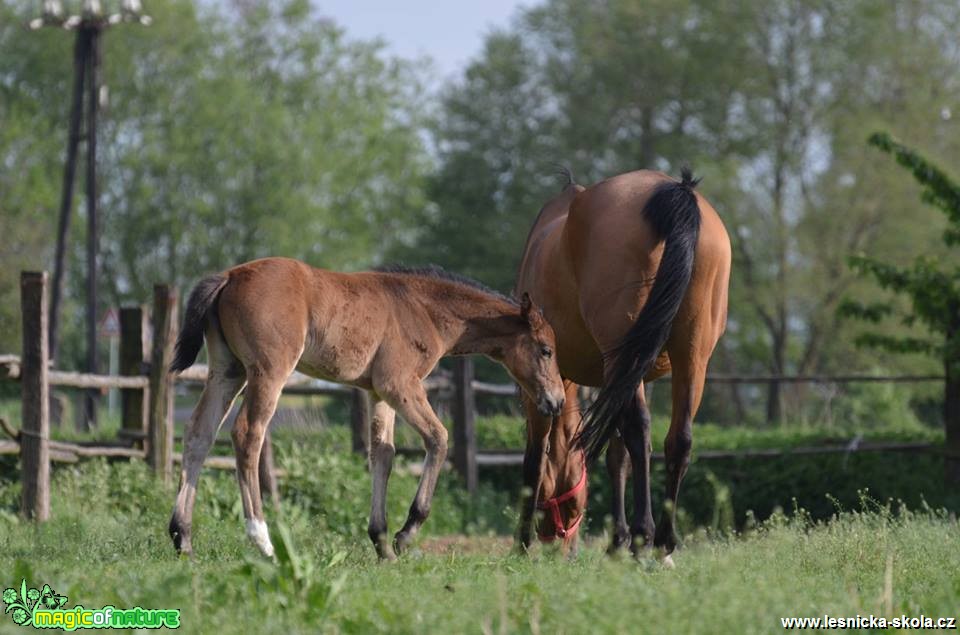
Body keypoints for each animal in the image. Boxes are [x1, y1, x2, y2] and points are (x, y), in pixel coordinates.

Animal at [169, 256, 568, 560]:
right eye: (546, 350)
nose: (557, 401)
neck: (422, 309)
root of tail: (229, 276)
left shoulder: (379, 392)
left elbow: (383, 453)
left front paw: (381, 543)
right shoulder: (400, 384)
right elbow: (438, 438)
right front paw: (405, 534)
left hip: (227, 371)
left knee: (199, 435)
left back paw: (181, 536)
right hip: (268, 371)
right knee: (247, 435)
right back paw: (262, 540)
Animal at [516, 169, 728, 560]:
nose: (555, 540)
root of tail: (672, 191)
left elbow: (536, 457)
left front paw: (520, 545)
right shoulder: (620, 379)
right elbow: (618, 456)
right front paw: (617, 540)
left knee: (640, 431)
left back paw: (645, 535)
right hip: (690, 354)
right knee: (679, 438)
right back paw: (663, 542)